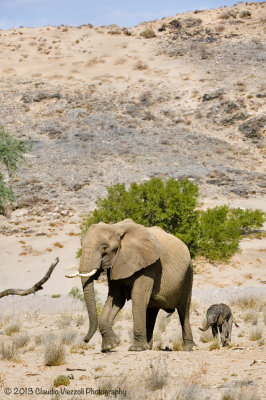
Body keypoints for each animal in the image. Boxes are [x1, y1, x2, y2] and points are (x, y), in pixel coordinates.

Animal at [66, 220, 195, 352]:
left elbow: (138, 296)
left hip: (188, 273)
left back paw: (188, 348)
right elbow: (116, 298)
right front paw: (110, 346)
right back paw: (148, 347)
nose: (85, 340)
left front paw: (135, 349)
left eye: (105, 248)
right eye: (81, 244)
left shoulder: (149, 265)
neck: (116, 227)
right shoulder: (115, 265)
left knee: (184, 310)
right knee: (151, 312)